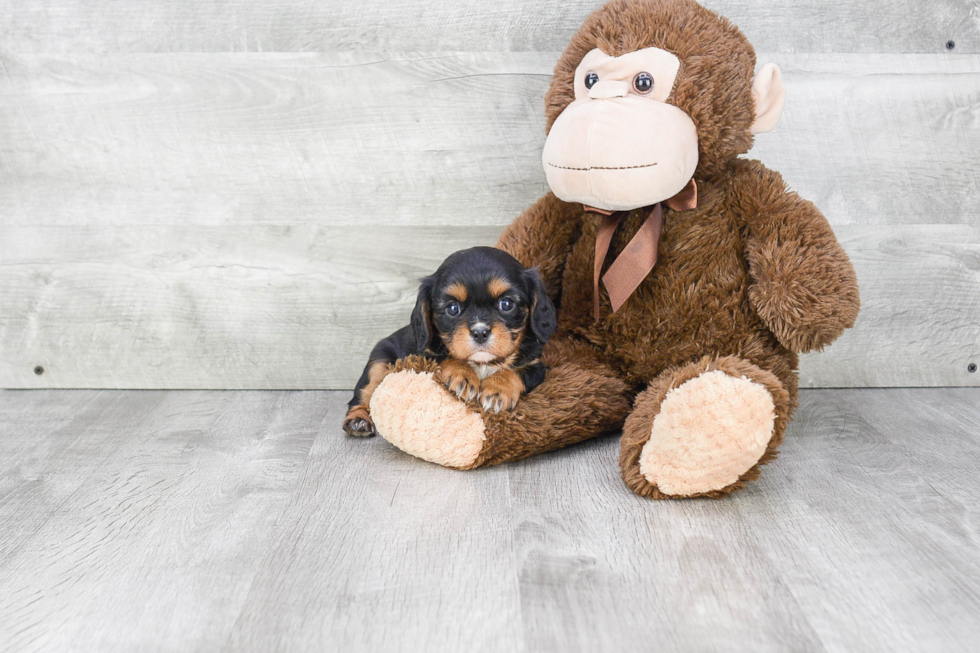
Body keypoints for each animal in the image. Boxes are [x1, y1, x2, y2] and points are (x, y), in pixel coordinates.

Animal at [344, 247, 560, 436]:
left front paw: (498, 389)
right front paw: (462, 375)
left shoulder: (536, 366)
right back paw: (358, 421)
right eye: (453, 308)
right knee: (362, 394)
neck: (483, 363)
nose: (480, 332)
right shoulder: (424, 356)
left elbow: (515, 371)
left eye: (506, 304)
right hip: (379, 361)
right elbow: (445, 359)